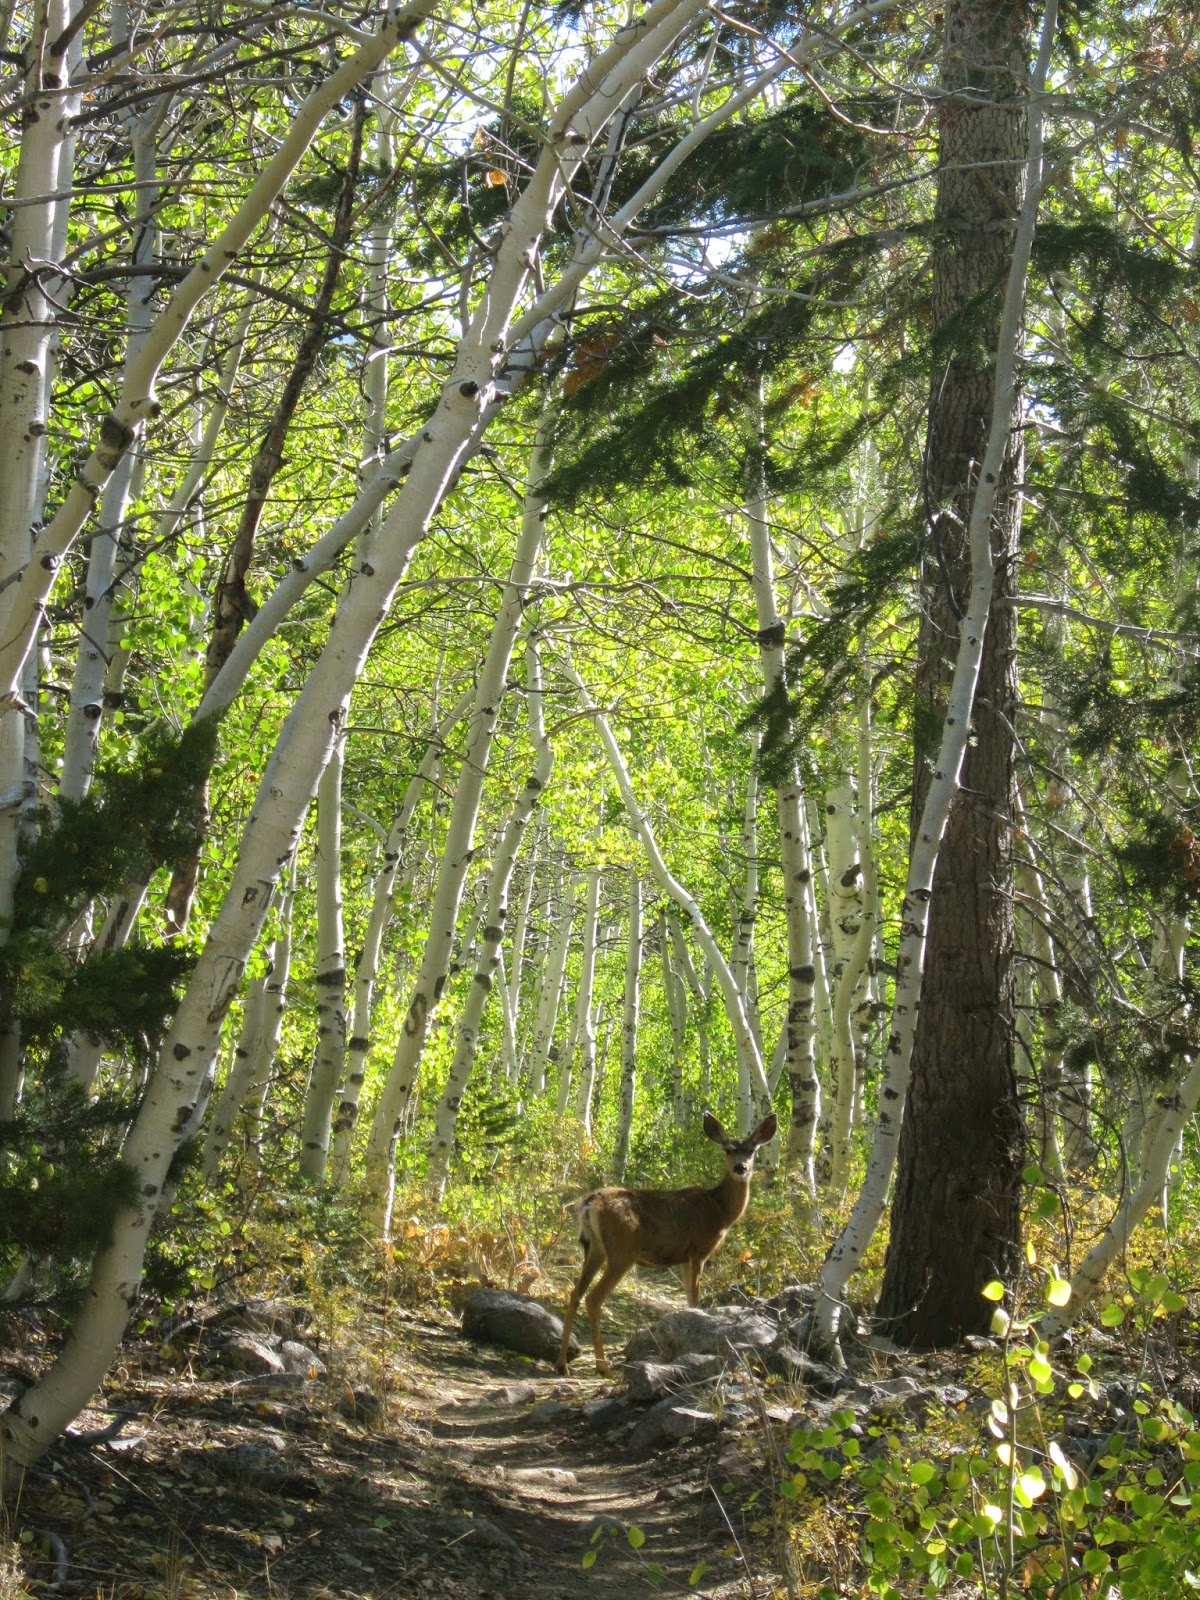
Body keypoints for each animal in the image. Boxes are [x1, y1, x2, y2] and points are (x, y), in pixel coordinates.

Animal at [556, 1111, 777, 1376]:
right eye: (728, 1149)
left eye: (752, 1150)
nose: (740, 1167)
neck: (720, 1210)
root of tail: (589, 1203)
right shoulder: (699, 1248)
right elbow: (694, 1299)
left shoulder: (683, 1257)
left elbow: (688, 1300)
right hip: (622, 1251)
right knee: (593, 1298)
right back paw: (603, 1368)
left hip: (595, 1249)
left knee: (575, 1293)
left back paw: (562, 1365)